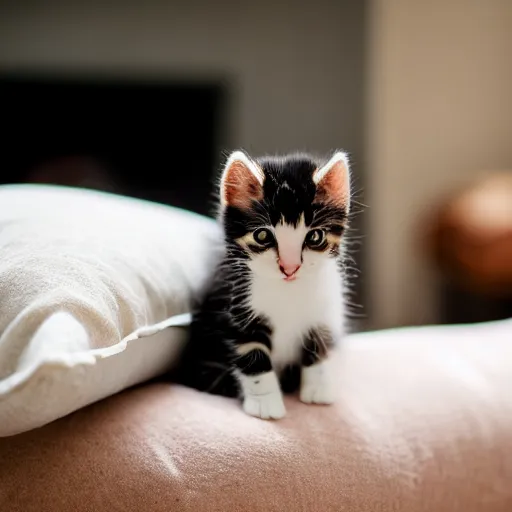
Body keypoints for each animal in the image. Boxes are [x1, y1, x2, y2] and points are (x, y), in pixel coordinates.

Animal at [174, 149, 350, 420]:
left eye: (315, 236)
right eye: (263, 235)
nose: (290, 267)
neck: (288, 290)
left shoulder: (326, 307)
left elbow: (319, 343)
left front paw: (318, 388)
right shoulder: (235, 305)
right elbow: (252, 355)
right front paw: (265, 403)